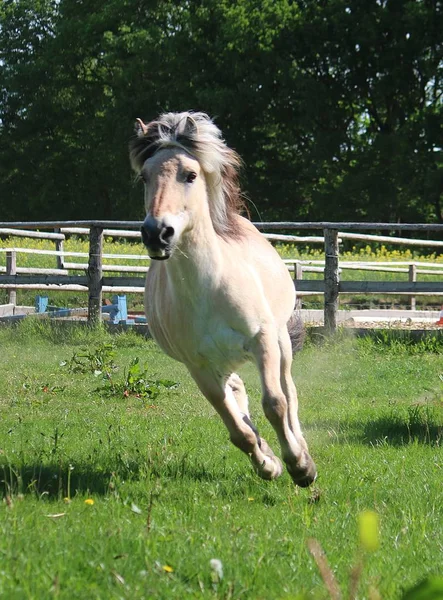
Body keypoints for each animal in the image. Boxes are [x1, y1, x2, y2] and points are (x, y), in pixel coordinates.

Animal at [130, 111, 318, 488]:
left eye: (189, 174)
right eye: (145, 176)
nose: (157, 233)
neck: (207, 289)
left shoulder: (262, 341)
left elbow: (275, 403)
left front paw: (300, 467)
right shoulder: (199, 367)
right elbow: (238, 431)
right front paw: (269, 464)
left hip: (280, 343)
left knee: (288, 393)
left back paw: (301, 449)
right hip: (223, 362)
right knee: (238, 392)